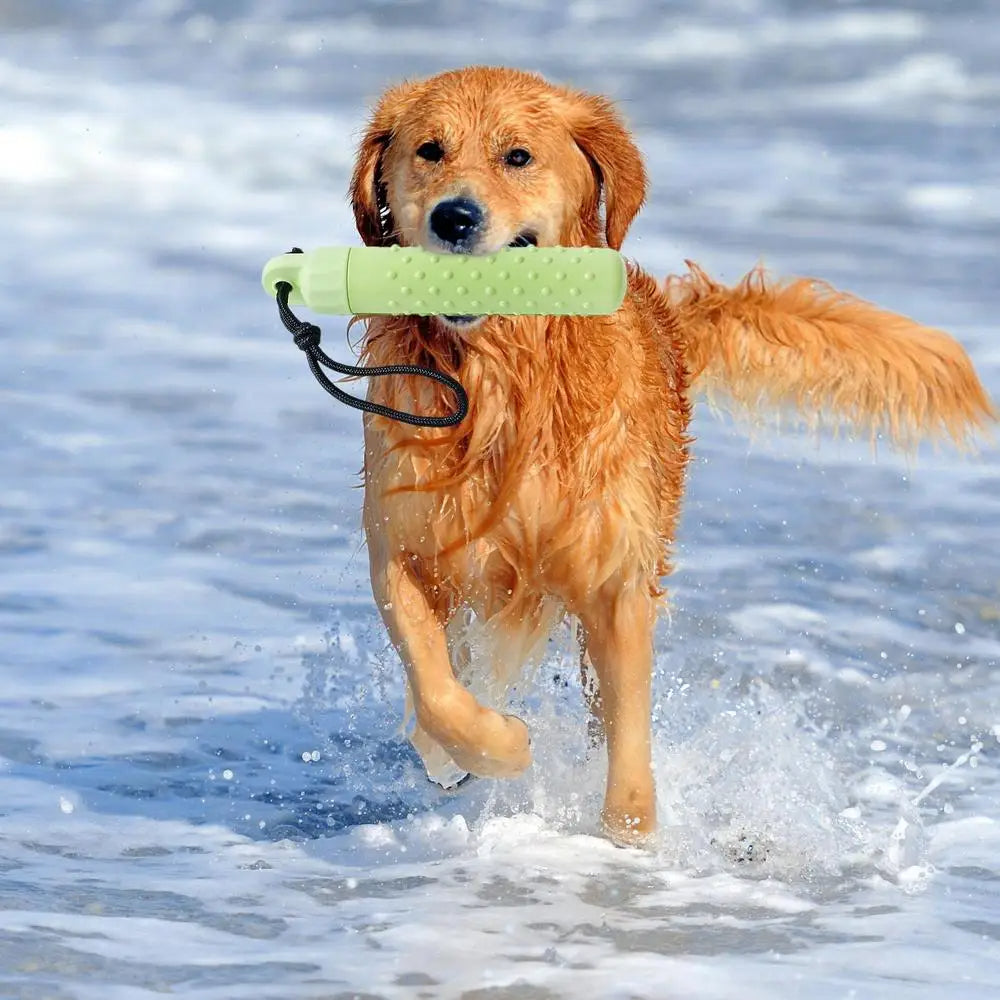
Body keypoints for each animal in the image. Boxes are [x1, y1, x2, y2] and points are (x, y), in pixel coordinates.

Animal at [350, 64, 992, 844]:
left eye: (517, 156)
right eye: (430, 151)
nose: (455, 217)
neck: (505, 380)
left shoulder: (615, 584)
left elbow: (627, 747)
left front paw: (628, 841)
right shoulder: (401, 550)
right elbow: (439, 690)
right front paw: (488, 746)